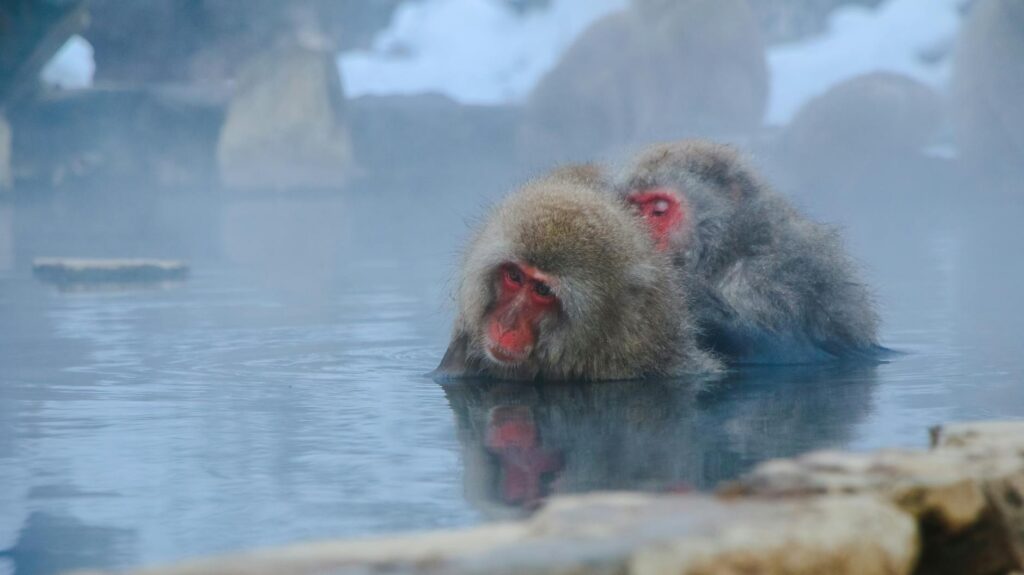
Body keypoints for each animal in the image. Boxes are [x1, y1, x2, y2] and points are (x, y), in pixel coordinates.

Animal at [617, 140, 881, 364]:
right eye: (633, 208)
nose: (640, 236)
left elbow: (782, 348)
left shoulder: (772, 276)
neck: (728, 249)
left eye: (659, 210)